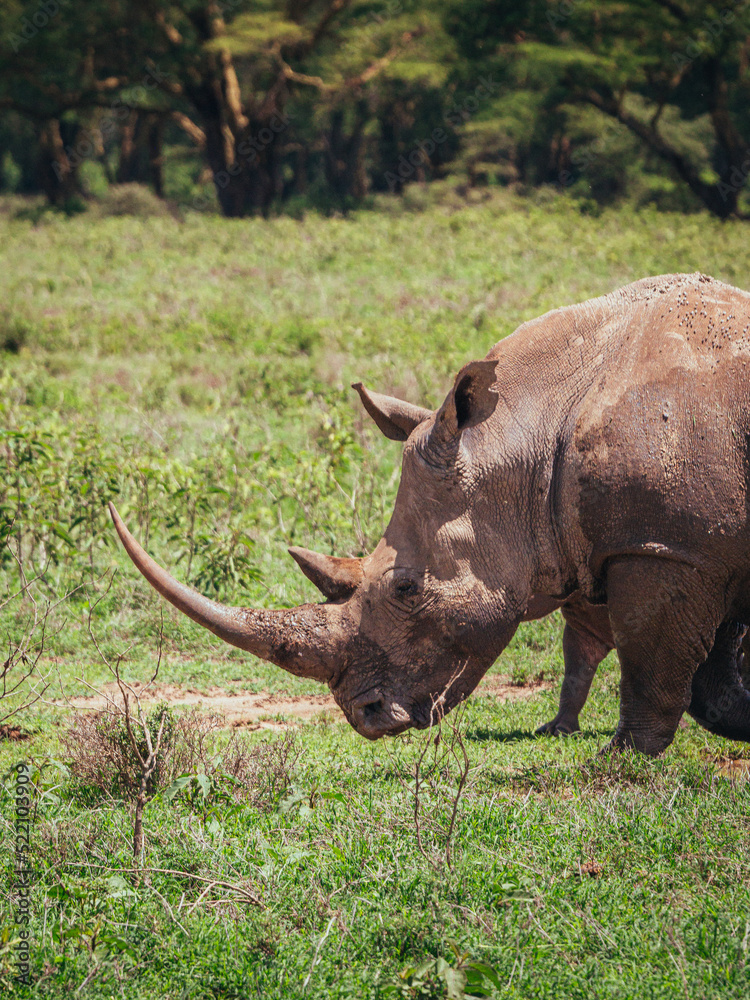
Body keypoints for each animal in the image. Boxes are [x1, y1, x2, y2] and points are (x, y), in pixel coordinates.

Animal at [110, 272, 750, 756]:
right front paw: (741, 717)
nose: (365, 716)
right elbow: (708, 678)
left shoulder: (664, 547)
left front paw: (621, 762)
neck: (525, 431)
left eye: (407, 589)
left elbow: (652, 665)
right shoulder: (700, 548)